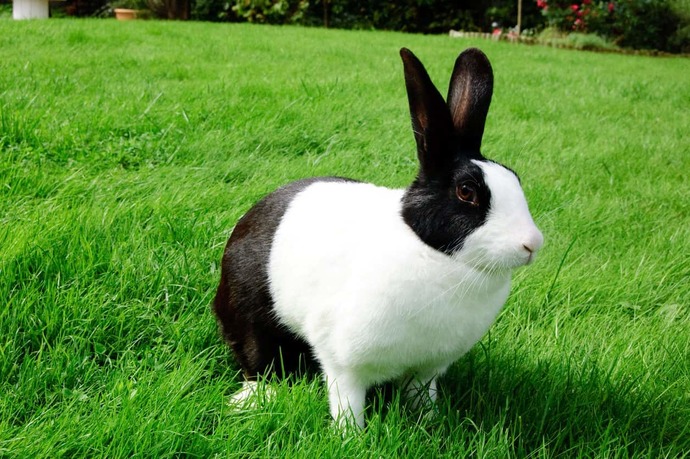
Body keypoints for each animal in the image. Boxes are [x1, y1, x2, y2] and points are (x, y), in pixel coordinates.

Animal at [213, 47, 544, 429]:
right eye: (466, 192)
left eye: (515, 178)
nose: (532, 244)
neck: (435, 255)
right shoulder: (344, 364)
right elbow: (348, 403)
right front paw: (350, 435)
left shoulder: (427, 369)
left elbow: (422, 396)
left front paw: (430, 423)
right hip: (252, 318)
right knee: (260, 362)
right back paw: (251, 400)